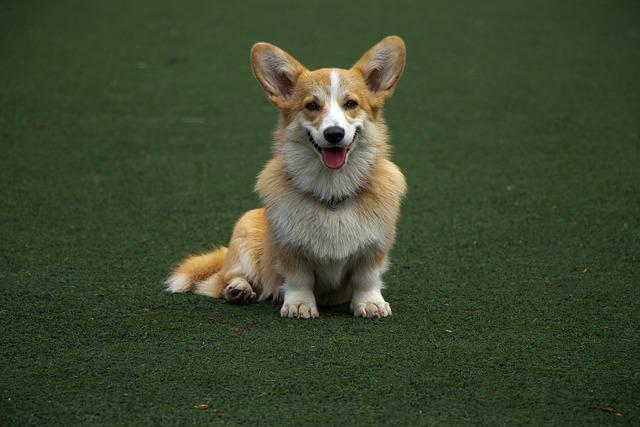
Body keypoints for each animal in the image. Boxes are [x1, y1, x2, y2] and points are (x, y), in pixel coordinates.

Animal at [165, 36, 404, 318]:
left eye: (351, 104)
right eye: (312, 106)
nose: (334, 134)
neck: (331, 191)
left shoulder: (375, 247)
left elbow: (366, 278)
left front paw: (370, 303)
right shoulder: (290, 249)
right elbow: (299, 278)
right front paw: (299, 304)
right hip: (244, 231)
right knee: (228, 277)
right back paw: (239, 290)